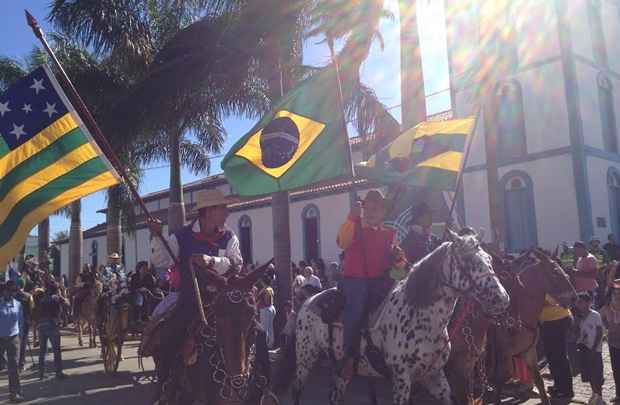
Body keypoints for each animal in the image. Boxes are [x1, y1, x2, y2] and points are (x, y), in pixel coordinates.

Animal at [274, 229, 508, 404]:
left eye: (489, 259)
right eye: (469, 262)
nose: (502, 298)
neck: (419, 315)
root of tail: (308, 301)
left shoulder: (434, 375)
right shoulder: (402, 378)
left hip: (340, 365)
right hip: (306, 357)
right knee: (296, 390)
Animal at [446, 248, 576, 404]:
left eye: (564, 272)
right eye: (555, 272)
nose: (574, 297)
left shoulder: (529, 352)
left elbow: (539, 381)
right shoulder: (503, 354)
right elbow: (501, 379)